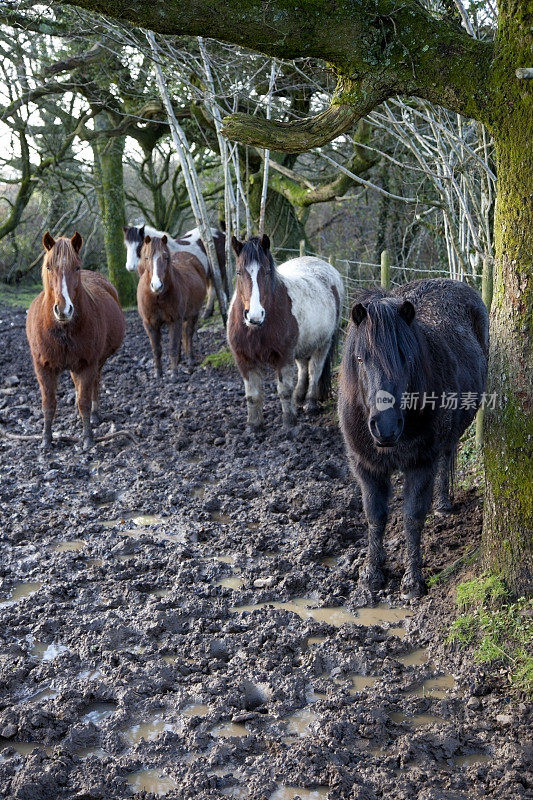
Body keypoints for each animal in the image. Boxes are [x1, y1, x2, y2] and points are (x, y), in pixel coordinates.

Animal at [27, 234, 127, 454]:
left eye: (77, 267)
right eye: (49, 267)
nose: (64, 310)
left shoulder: (87, 365)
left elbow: (84, 402)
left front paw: (88, 438)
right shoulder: (43, 368)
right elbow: (48, 404)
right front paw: (46, 440)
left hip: (97, 361)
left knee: (95, 383)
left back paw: (95, 414)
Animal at [137, 234, 206, 378]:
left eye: (166, 257)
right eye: (147, 257)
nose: (157, 285)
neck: (157, 297)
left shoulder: (175, 320)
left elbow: (173, 346)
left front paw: (174, 374)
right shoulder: (150, 324)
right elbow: (156, 349)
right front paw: (158, 373)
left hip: (193, 314)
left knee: (188, 334)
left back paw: (190, 359)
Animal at [227, 234, 342, 428]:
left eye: (266, 272)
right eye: (238, 272)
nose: (254, 316)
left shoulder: (283, 356)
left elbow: (284, 390)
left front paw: (289, 423)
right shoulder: (244, 359)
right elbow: (252, 395)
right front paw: (254, 425)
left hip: (323, 344)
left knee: (314, 370)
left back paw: (310, 403)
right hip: (303, 346)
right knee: (303, 368)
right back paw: (299, 398)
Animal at [338, 278, 488, 596]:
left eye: (405, 357)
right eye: (360, 358)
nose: (386, 427)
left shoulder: (421, 463)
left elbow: (412, 517)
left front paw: (413, 580)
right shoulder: (366, 467)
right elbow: (375, 516)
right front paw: (372, 574)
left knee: (447, 456)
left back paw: (443, 504)